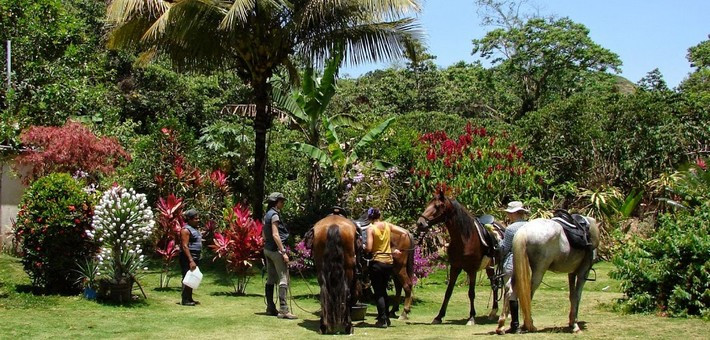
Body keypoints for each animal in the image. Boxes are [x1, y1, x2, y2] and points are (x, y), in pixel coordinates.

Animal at [418, 193, 500, 326]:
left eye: (437, 206)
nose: (420, 223)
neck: (465, 239)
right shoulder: (455, 267)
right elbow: (448, 292)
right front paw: (439, 316)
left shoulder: (472, 270)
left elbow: (471, 293)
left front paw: (471, 317)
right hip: (489, 267)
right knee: (495, 285)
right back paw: (493, 312)